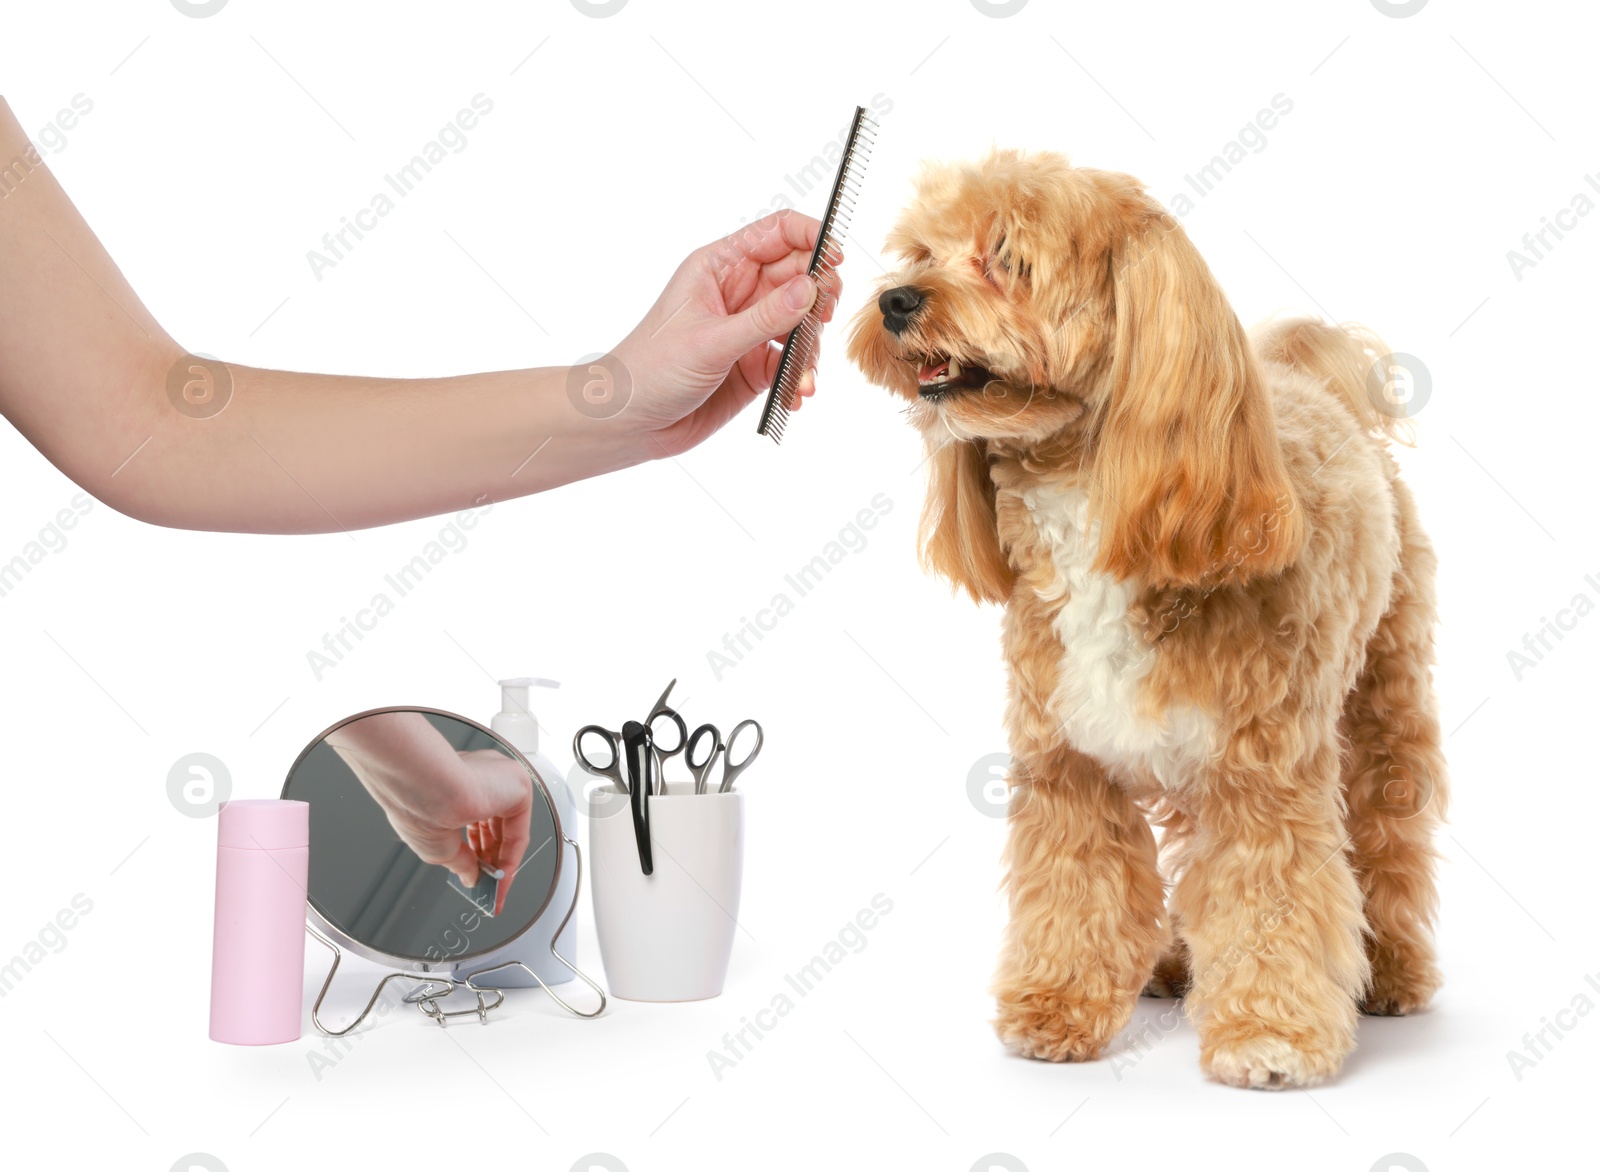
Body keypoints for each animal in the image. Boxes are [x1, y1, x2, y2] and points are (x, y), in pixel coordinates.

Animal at [851, 148, 1452, 1088]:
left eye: (1007, 257)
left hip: (1384, 700)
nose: (895, 302)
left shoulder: (1263, 776)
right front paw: (1057, 1007)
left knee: (1388, 839)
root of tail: (1310, 381)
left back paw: (1388, 966)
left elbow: (1271, 896)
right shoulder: (1067, 765)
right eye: (920, 254)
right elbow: (1077, 889)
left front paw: (1269, 1033)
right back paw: (1174, 961)